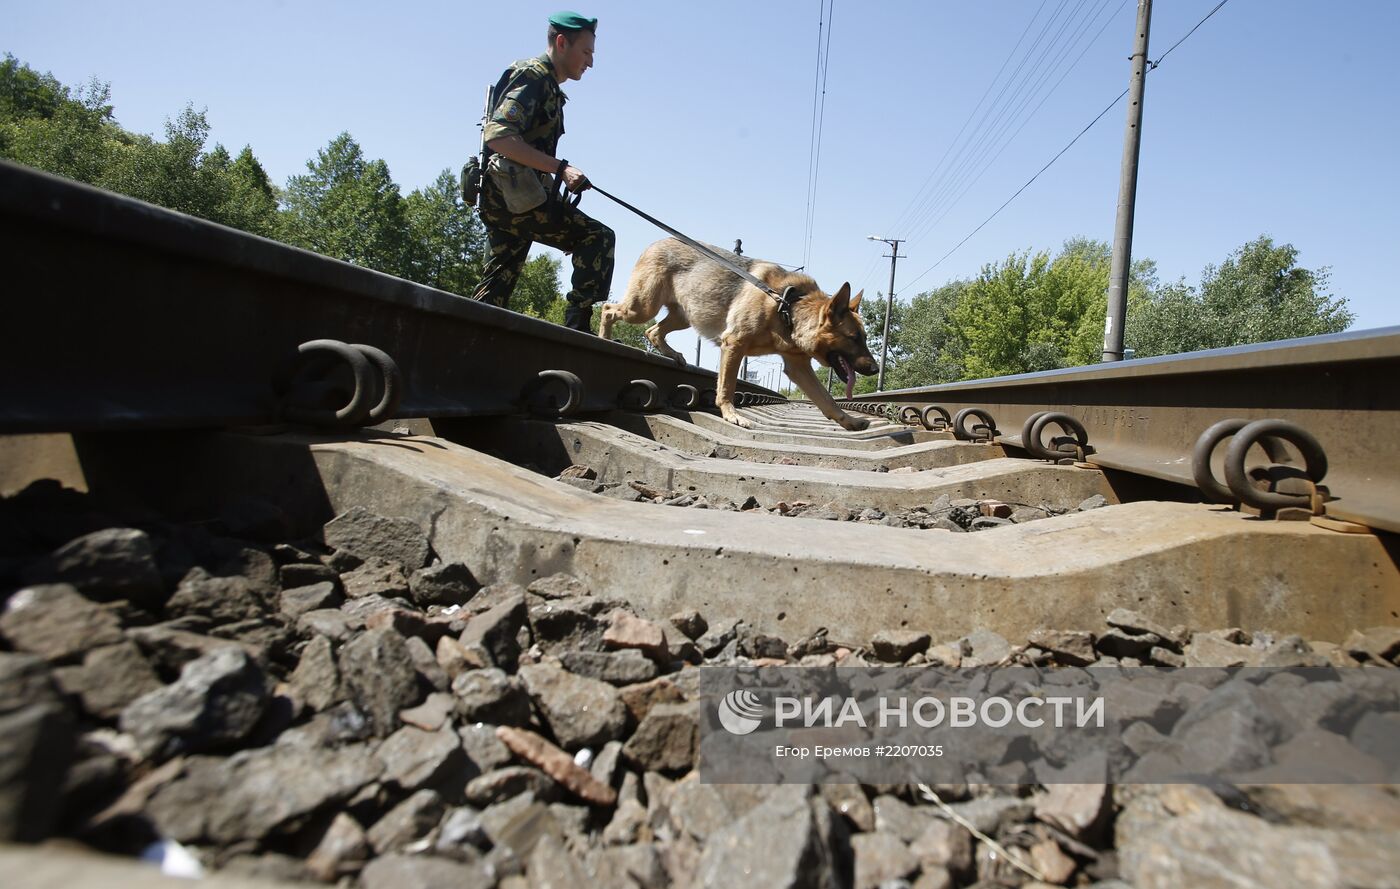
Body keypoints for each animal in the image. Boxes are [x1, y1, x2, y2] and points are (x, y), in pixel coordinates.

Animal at [599, 236, 879, 431]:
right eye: (854, 338)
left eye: (864, 338)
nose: (876, 370)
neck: (787, 306)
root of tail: (658, 241)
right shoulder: (734, 344)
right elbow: (727, 386)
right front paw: (731, 415)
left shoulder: (798, 366)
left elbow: (826, 399)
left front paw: (849, 421)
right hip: (643, 307)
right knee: (608, 310)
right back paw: (604, 340)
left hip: (683, 316)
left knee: (653, 331)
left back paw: (673, 354)